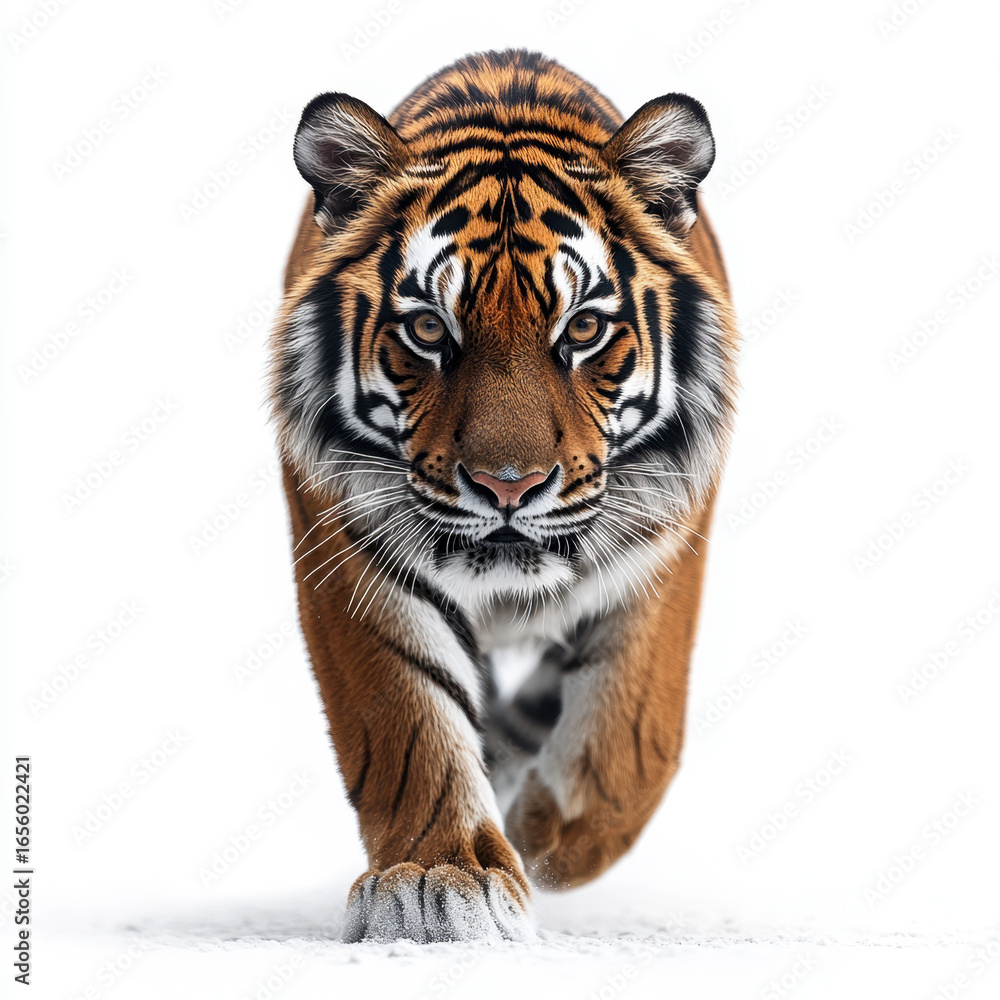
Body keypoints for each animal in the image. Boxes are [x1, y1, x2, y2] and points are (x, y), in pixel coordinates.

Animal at [269, 49, 738, 943]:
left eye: (583, 330)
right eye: (428, 329)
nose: (507, 485)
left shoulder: (667, 534)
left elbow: (631, 733)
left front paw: (554, 837)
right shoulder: (349, 544)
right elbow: (408, 717)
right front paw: (436, 878)